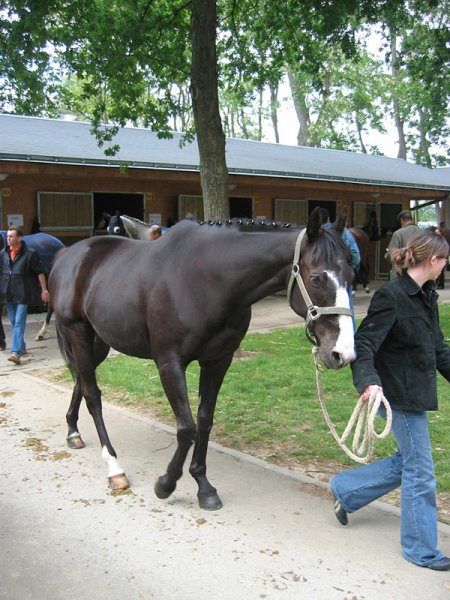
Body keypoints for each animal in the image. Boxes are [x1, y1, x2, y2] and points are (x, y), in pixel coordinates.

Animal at [49, 207, 356, 510]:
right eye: (316, 278)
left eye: (352, 276)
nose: (343, 353)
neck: (206, 280)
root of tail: (68, 255)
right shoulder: (169, 362)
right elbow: (187, 428)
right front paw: (166, 484)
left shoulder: (218, 361)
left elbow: (204, 421)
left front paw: (203, 486)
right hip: (77, 334)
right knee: (93, 395)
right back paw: (114, 468)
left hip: (98, 342)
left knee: (81, 383)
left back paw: (73, 432)